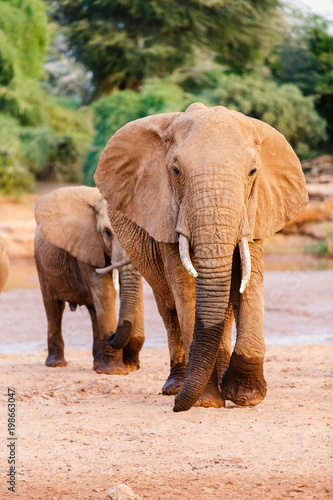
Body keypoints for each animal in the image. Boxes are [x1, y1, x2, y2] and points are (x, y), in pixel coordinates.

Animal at [34, 186, 145, 374]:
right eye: (107, 232)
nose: (111, 335)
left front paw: (129, 366)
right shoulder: (87, 245)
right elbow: (105, 292)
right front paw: (115, 371)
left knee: (94, 310)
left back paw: (97, 365)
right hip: (41, 262)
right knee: (53, 307)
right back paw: (57, 364)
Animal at [92, 101, 306, 410]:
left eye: (253, 171)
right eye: (175, 171)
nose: (175, 406)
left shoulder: (256, 210)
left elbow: (251, 281)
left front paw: (245, 396)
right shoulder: (166, 216)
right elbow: (186, 290)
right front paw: (207, 402)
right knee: (169, 308)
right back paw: (177, 386)